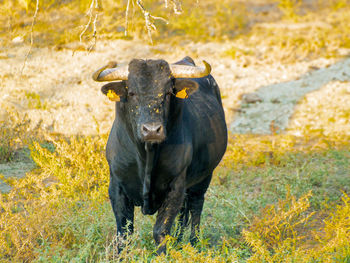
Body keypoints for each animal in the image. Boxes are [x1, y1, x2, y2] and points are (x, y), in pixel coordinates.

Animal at [92, 56, 227, 254]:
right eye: (131, 93)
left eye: (168, 93)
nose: (152, 130)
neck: (146, 156)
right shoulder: (116, 186)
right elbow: (124, 234)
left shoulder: (176, 186)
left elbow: (160, 231)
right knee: (184, 214)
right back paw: (179, 242)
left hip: (203, 178)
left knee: (195, 208)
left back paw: (195, 244)